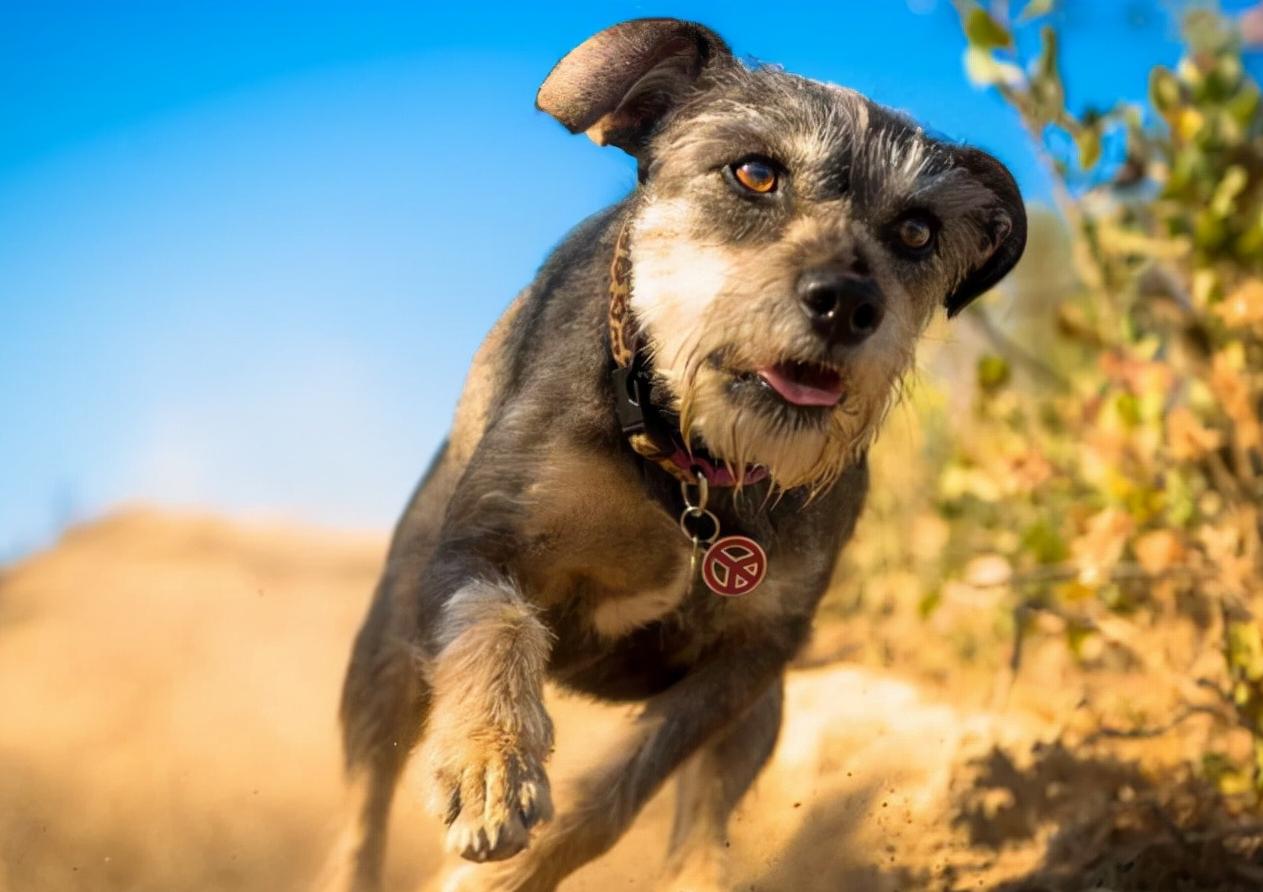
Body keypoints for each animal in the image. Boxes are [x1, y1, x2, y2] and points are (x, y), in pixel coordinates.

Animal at [335, 15, 1025, 889]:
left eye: (915, 231)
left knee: (703, 823)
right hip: (385, 658)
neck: (690, 467)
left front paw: (500, 873)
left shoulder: (749, 662)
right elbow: (497, 625)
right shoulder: (478, 550)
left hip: (761, 721)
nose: (845, 303)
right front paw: (491, 768)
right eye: (755, 172)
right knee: (361, 810)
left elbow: (623, 790)